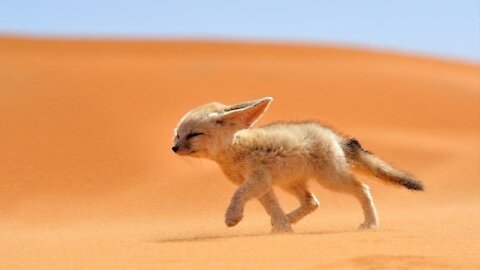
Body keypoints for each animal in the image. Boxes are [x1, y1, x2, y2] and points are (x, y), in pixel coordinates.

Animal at [172, 97, 424, 232]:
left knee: (362, 188)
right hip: (291, 183)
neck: (235, 150)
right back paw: (288, 220)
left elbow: (238, 195)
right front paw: (283, 228)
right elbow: (272, 208)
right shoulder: (264, 185)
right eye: (177, 135)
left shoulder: (257, 179)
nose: (173, 149)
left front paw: (233, 217)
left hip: (331, 180)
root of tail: (334, 136)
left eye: (193, 135)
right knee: (312, 202)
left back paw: (370, 224)